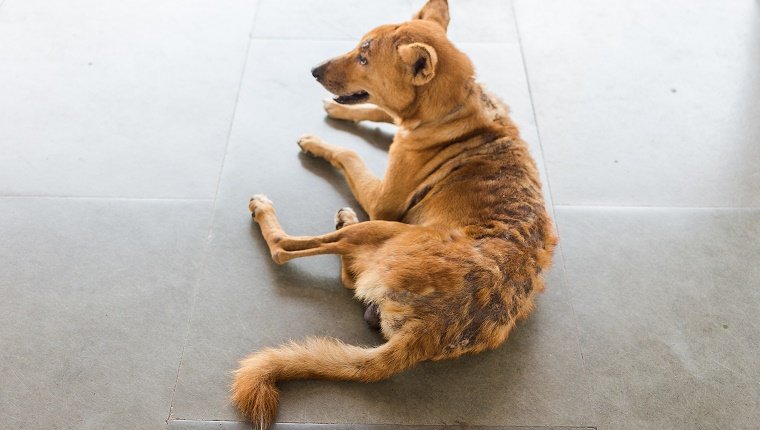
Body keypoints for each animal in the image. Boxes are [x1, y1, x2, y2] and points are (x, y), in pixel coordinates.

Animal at [232, 0, 560, 426]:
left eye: (364, 57)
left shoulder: (383, 201)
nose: (314, 70)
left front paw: (320, 141)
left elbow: (350, 153)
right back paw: (344, 218)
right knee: (349, 276)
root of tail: (426, 332)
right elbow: (382, 112)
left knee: (285, 249)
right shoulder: (400, 124)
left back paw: (267, 211)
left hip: (383, 227)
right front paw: (340, 112)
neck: (455, 110)